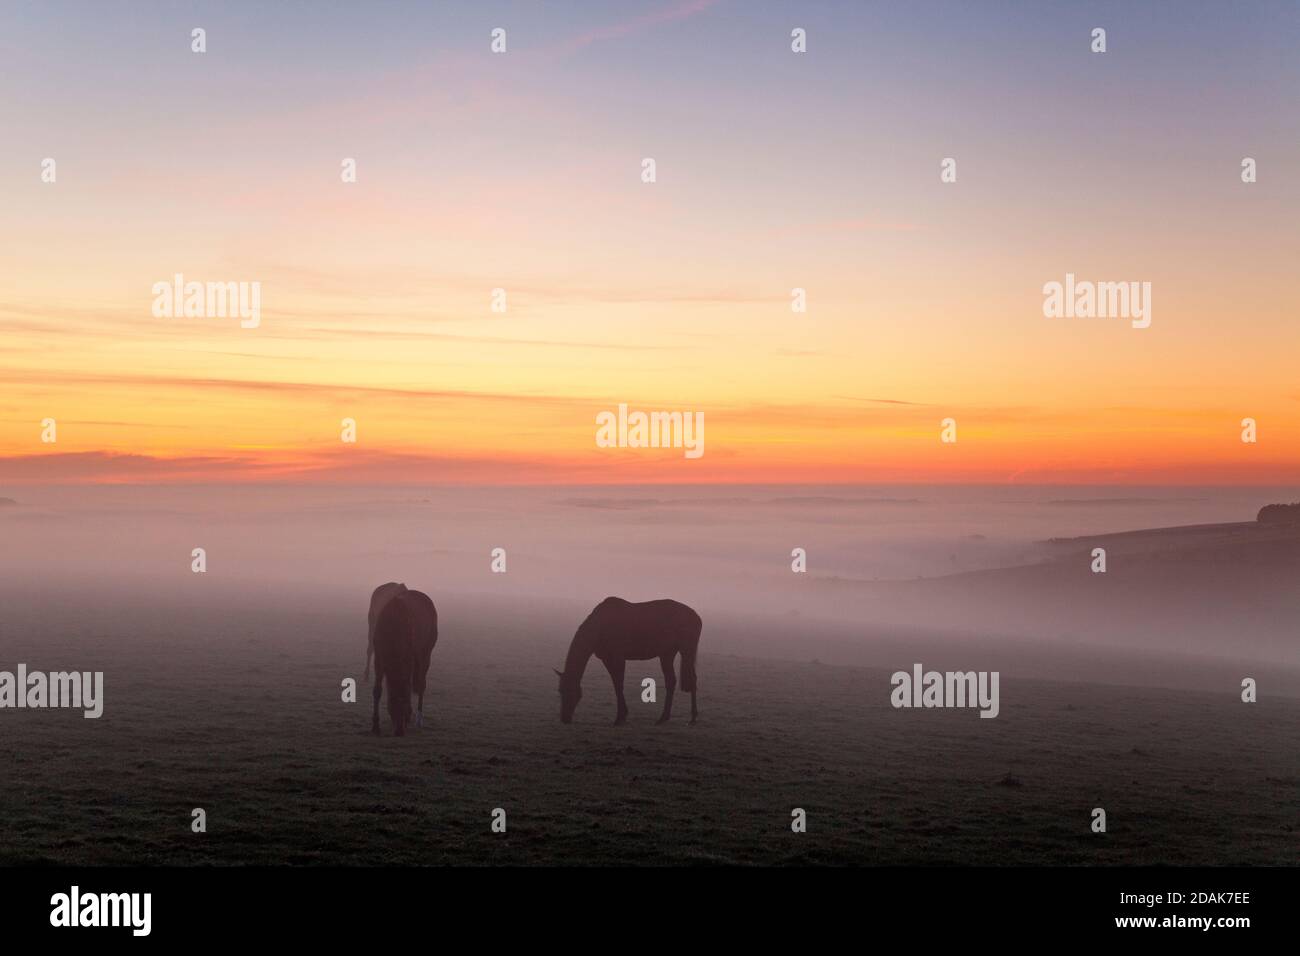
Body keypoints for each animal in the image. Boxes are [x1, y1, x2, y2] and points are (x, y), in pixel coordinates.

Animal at [369, 587, 439, 738]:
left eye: (405, 702)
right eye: (392, 703)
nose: (399, 732)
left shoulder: (408, 657)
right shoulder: (379, 658)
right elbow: (377, 690)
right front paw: (375, 726)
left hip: (425, 652)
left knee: (422, 683)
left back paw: (419, 719)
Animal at [559, 598, 702, 723]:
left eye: (570, 691)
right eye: (560, 691)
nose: (564, 718)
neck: (600, 626)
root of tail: (696, 616)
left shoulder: (618, 657)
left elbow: (619, 684)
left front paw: (620, 718)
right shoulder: (607, 659)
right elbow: (615, 683)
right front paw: (622, 715)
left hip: (686, 651)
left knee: (691, 679)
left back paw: (693, 717)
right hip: (667, 654)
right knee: (671, 681)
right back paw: (664, 718)